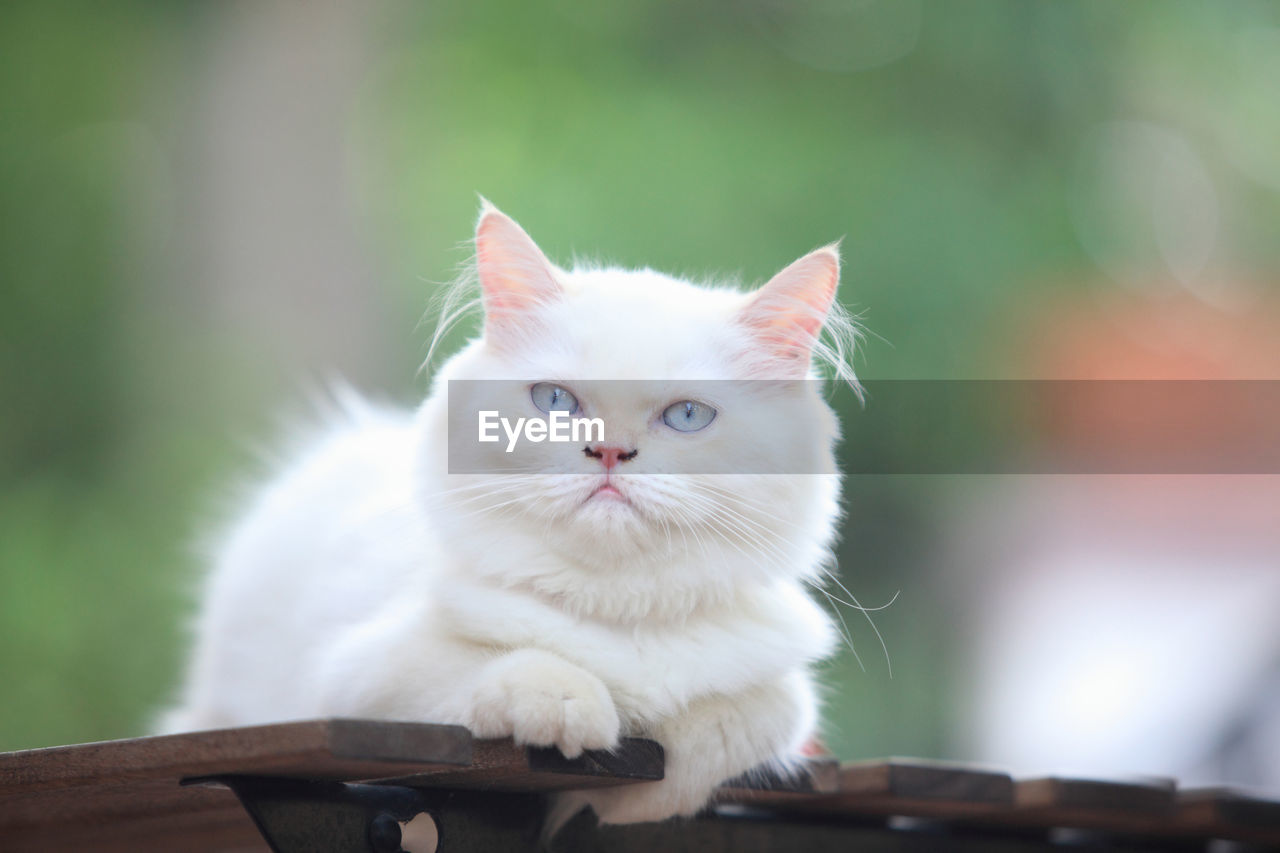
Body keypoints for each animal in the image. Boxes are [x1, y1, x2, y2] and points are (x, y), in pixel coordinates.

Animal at [162, 199, 860, 824]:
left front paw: (640, 786)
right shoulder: (355, 680)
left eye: (688, 415)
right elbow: (501, 667)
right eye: (555, 401)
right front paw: (572, 709)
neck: (616, 613)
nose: (610, 451)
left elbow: (740, 722)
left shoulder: (780, 695)